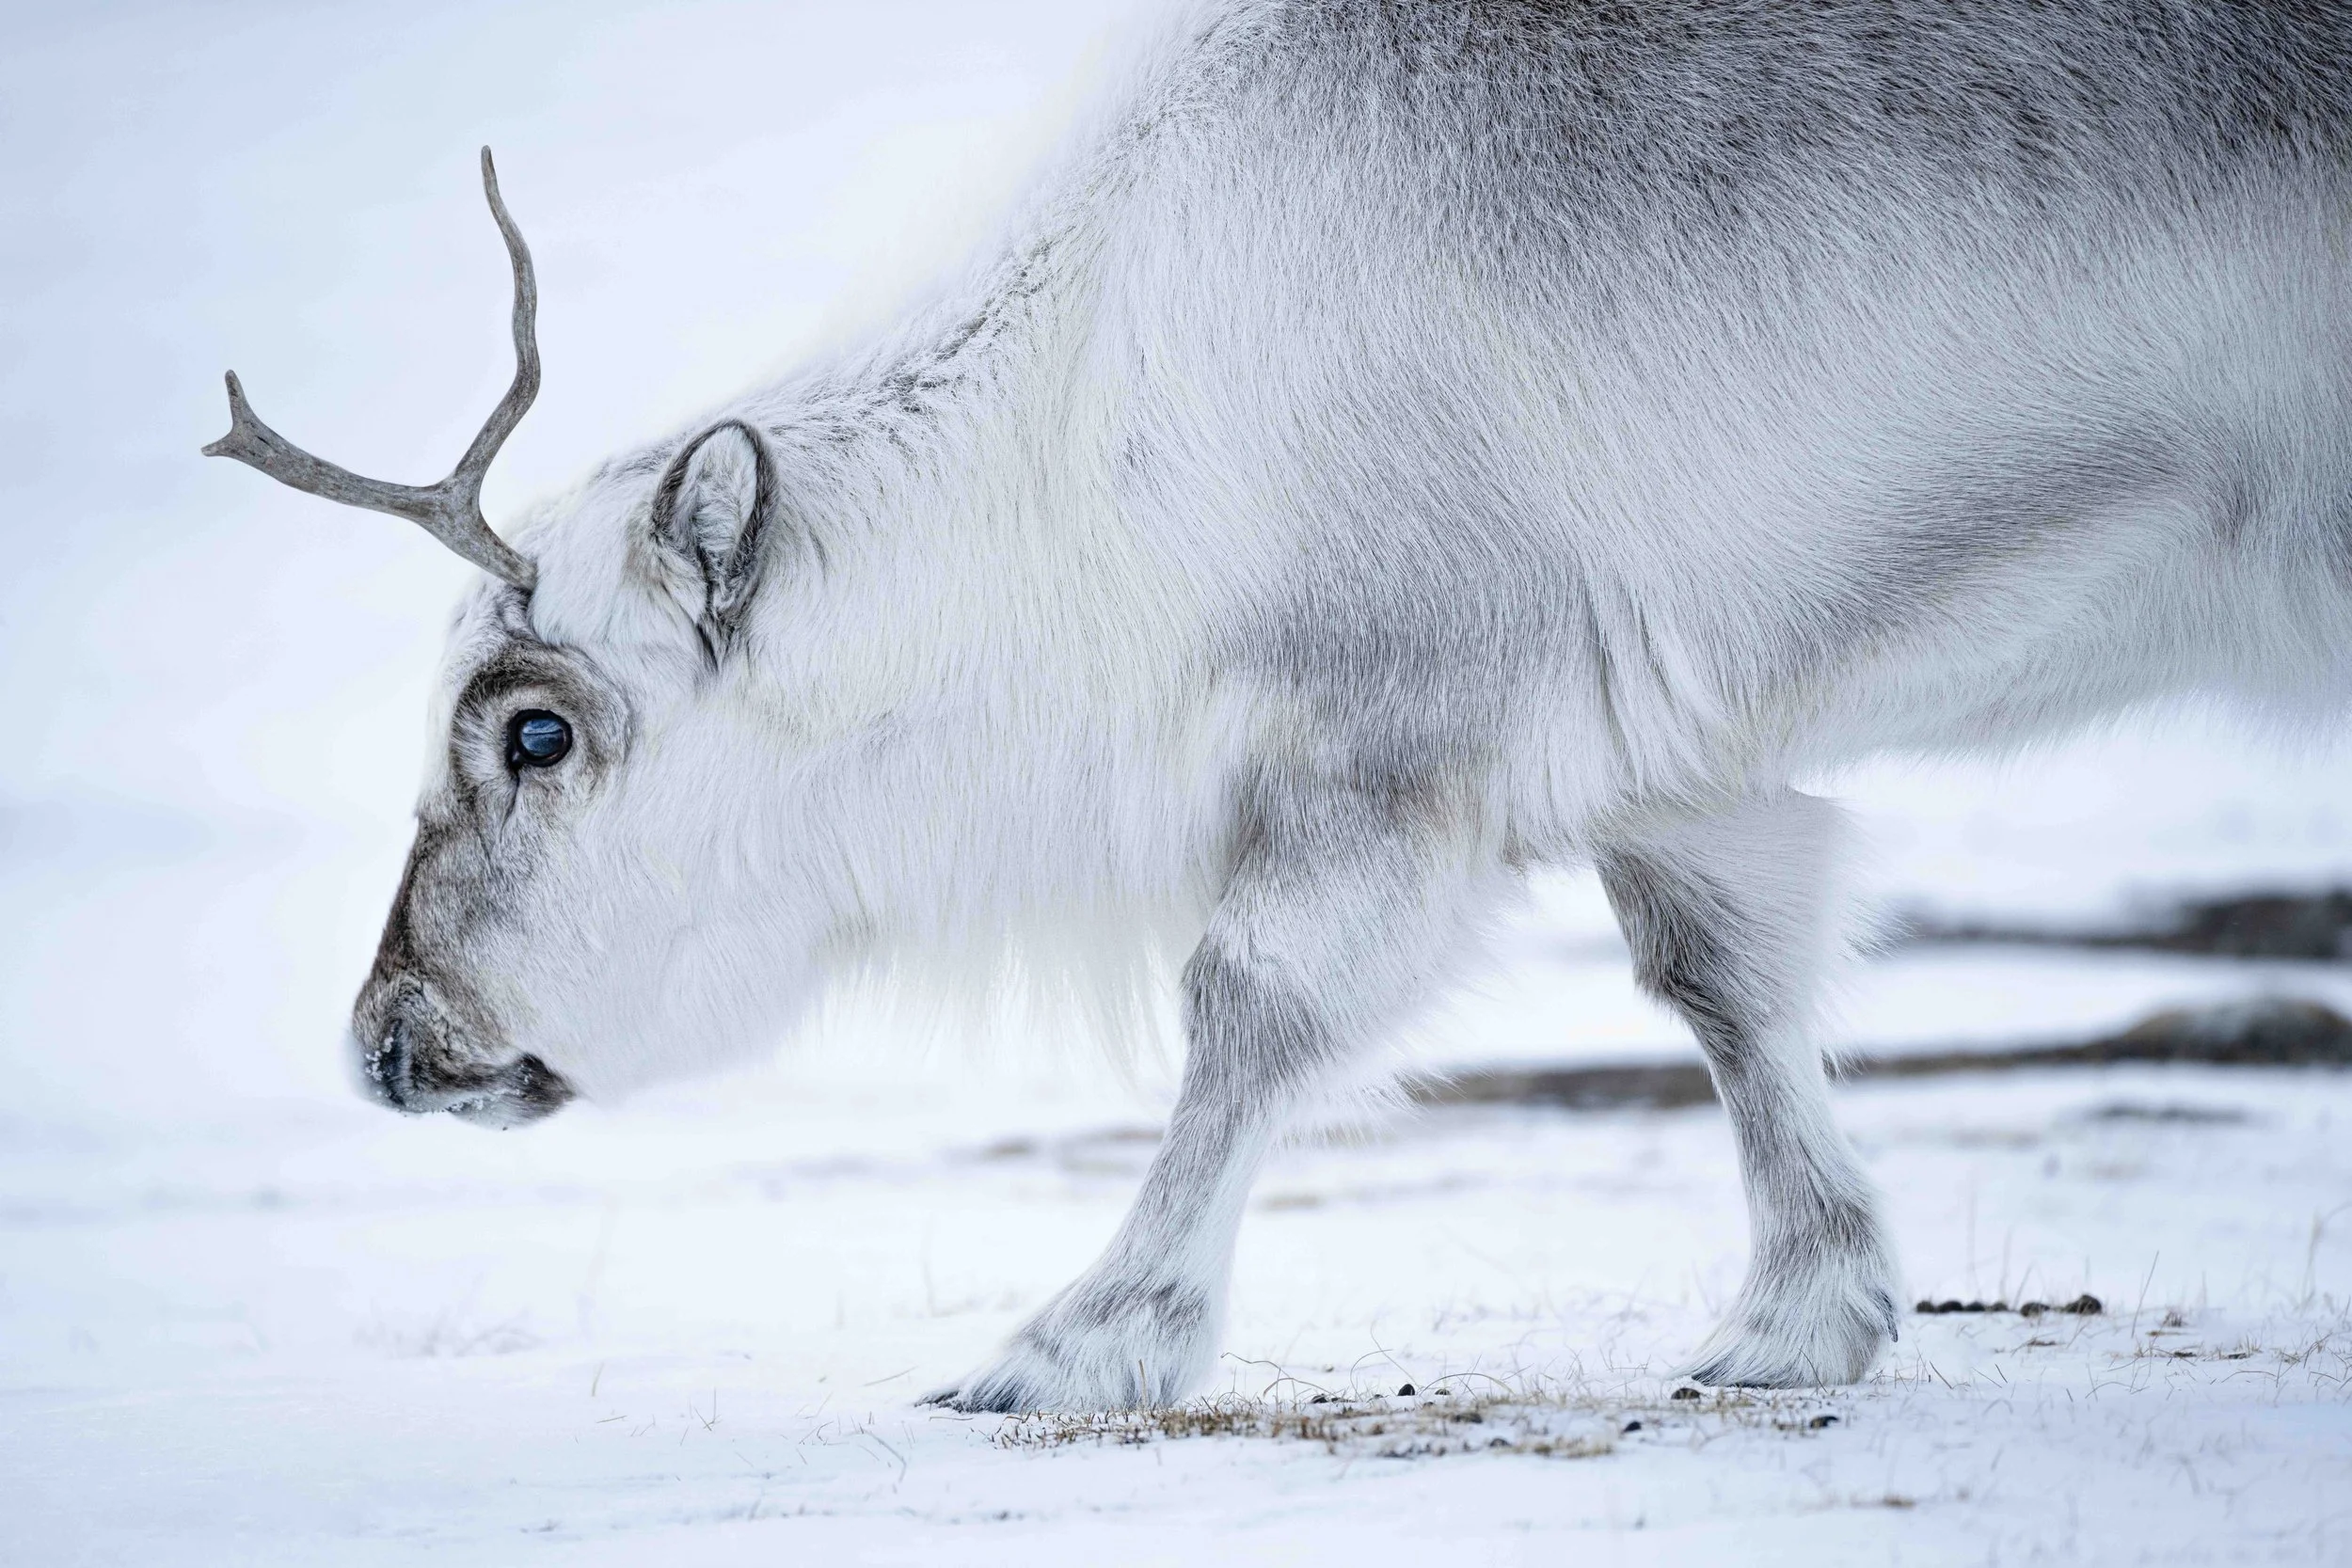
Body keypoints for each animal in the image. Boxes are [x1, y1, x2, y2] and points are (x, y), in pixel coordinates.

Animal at [204, 1, 2352, 1411]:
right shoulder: (1672, 752)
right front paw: (1799, 1312)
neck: (1085, 473)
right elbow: (1728, 984)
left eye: (534, 731)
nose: (388, 1039)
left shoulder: (1397, 736)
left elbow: (1246, 1004)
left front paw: (1078, 1340)